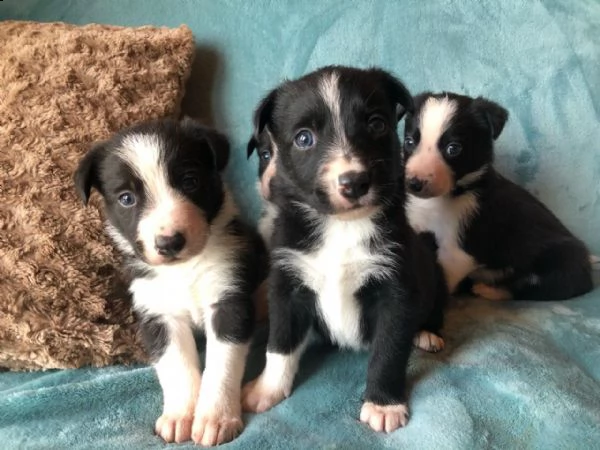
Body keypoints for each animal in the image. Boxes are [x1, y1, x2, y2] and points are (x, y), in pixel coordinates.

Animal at [74, 118, 266, 446]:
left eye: (190, 181)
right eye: (127, 199)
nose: (169, 243)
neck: (183, 270)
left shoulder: (228, 300)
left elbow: (221, 365)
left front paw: (215, 418)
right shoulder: (157, 313)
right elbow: (176, 365)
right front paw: (180, 416)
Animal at [241, 67, 448, 432]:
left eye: (377, 124)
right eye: (304, 138)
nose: (354, 182)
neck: (342, 226)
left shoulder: (396, 288)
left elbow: (389, 350)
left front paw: (383, 404)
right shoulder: (287, 282)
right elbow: (279, 342)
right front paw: (267, 388)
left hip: (434, 272)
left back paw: (427, 334)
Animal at [406, 92, 592, 300]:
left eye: (453, 148)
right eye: (409, 142)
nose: (414, 183)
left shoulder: (456, 250)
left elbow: (443, 279)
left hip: (559, 263)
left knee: (525, 288)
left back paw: (488, 290)